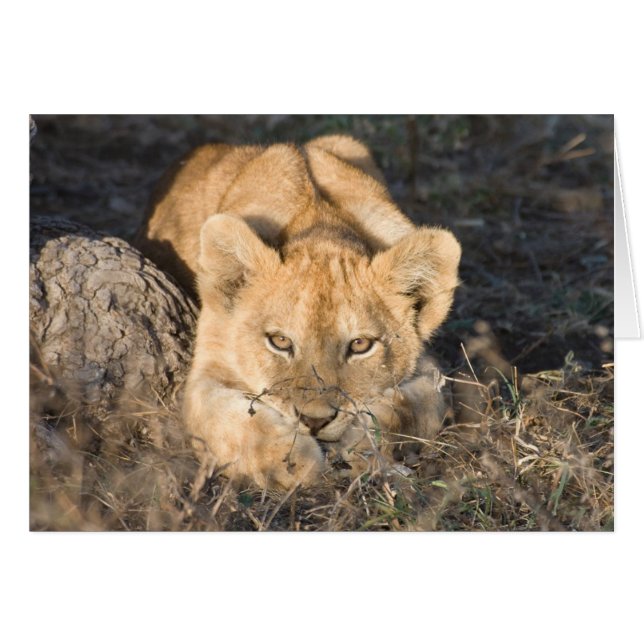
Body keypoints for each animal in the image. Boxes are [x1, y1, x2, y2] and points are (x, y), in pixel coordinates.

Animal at [136, 134, 461, 489]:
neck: (320, 226)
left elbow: (424, 405)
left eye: (360, 345)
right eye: (279, 341)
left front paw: (365, 436)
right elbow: (230, 424)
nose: (314, 421)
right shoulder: (206, 368)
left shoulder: (427, 361)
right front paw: (292, 460)